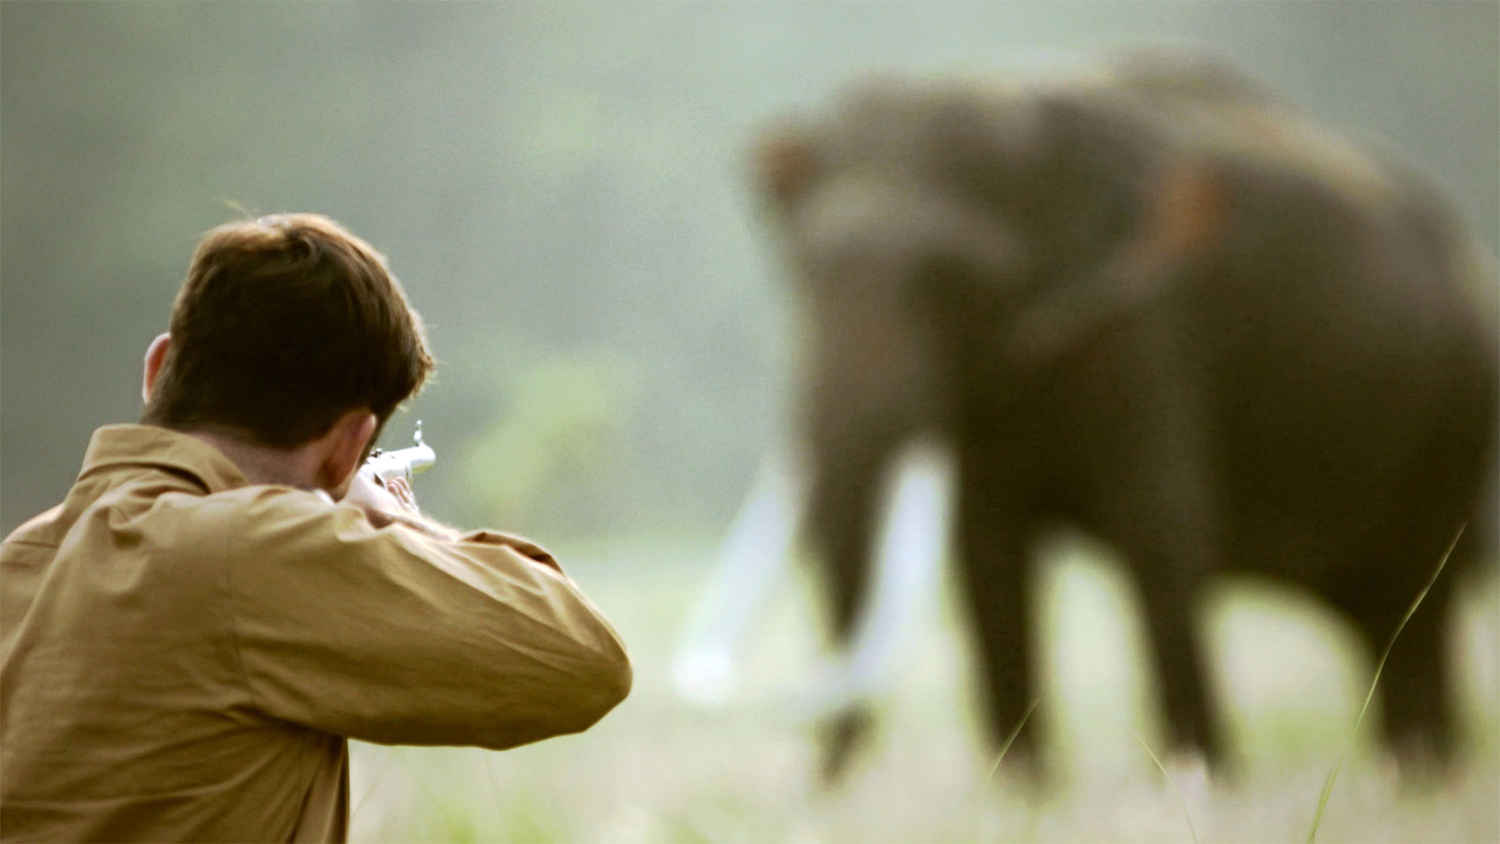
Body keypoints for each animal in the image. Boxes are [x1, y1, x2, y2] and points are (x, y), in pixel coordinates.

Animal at [683, 50, 1498, 784]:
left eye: (954, 279)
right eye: (803, 269)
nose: (823, 783)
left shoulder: (1151, 327)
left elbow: (1158, 526)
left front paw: (1202, 780)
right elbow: (987, 552)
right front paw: (1024, 795)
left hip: (1454, 415)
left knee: (1418, 602)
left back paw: (1421, 775)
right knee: (1385, 617)